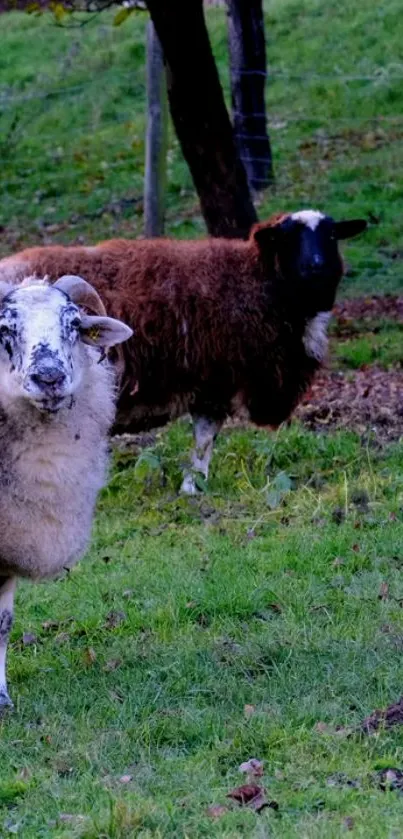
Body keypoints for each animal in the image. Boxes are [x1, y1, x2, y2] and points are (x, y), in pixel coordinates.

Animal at [0, 209, 368, 492]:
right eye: (288, 239)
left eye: (331, 236)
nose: (317, 266)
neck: (257, 283)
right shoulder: (215, 381)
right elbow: (204, 439)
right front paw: (193, 487)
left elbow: (203, 442)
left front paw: (194, 486)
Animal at [0, 274, 132, 708]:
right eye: (5, 329)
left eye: (74, 324)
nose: (50, 378)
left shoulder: (13, 544)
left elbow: (3, 624)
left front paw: (2, 698)